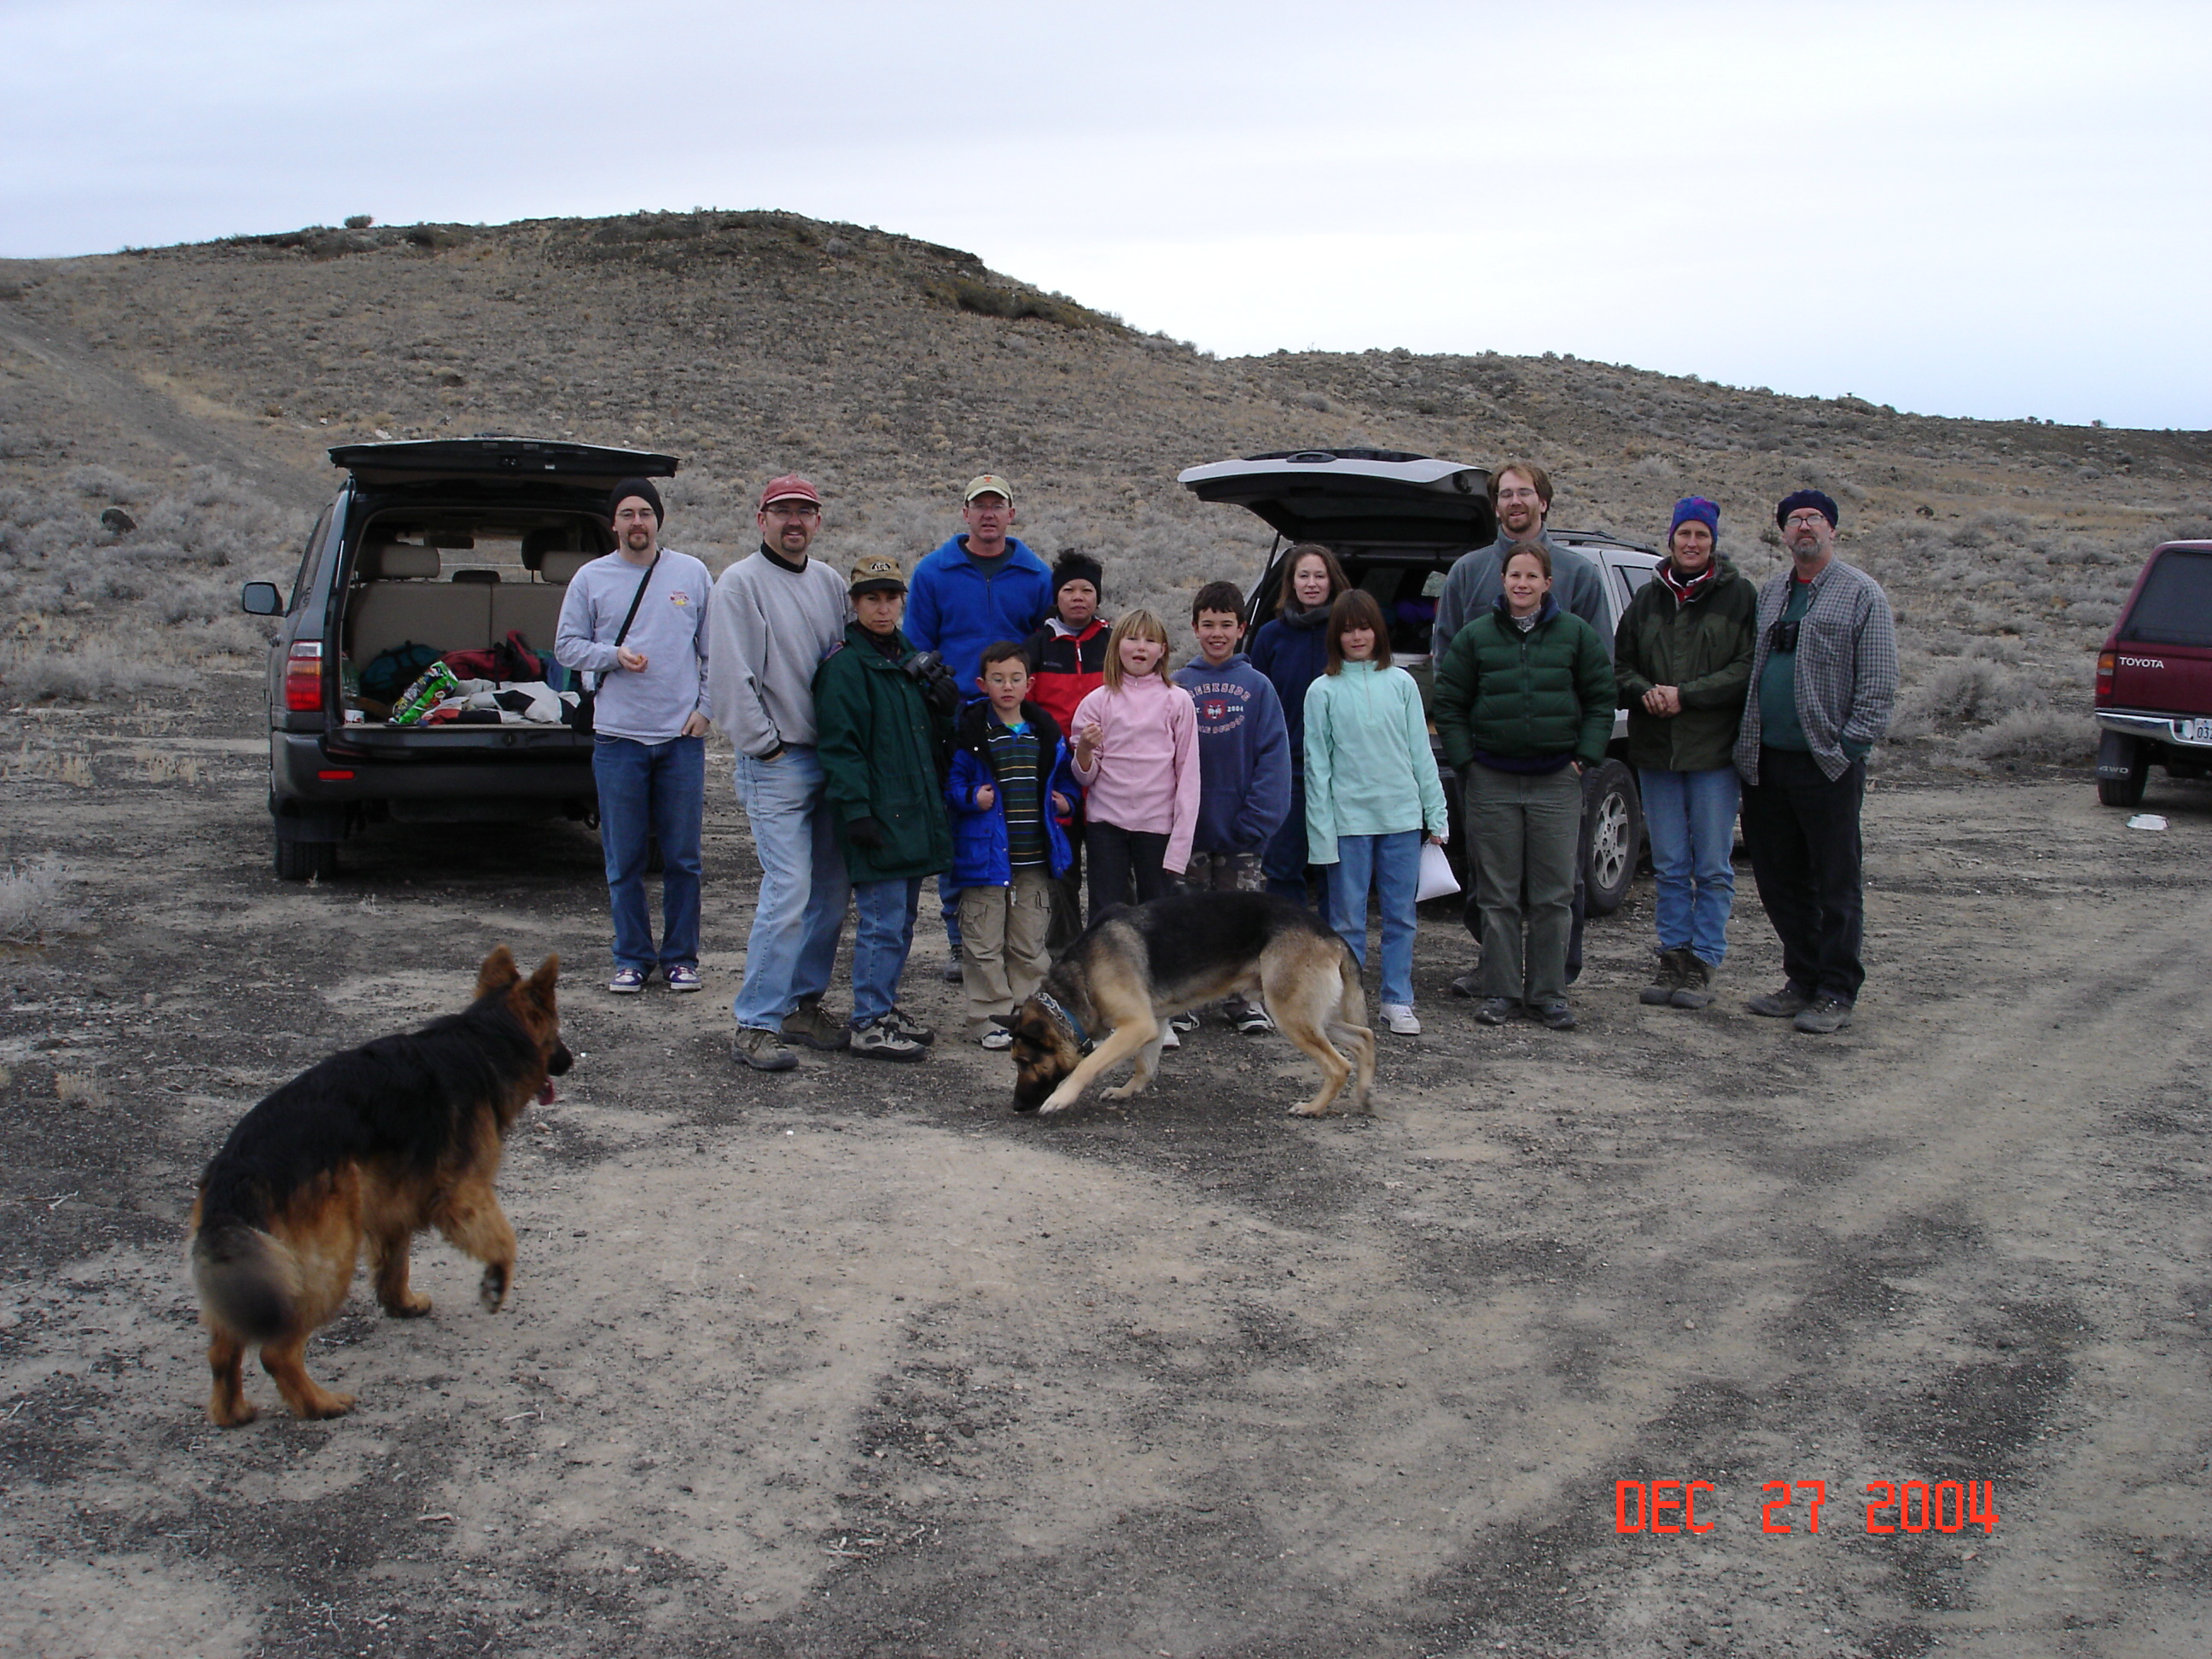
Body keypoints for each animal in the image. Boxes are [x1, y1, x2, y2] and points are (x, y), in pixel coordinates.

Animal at [187, 946, 570, 1433]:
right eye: (556, 1033)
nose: (570, 1061)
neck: (485, 1042)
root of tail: (239, 1167)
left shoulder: (392, 1205)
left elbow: (395, 1263)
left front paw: (401, 1304)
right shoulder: (465, 1195)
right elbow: (504, 1241)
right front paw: (495, 1285)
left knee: (222, 1349)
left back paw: (231, 1411)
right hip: (328, 1261)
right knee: (276, 1351)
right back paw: (320, 1404)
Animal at [999, 898, 1371, 1119]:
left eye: (1024, 1062)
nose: (1016, 1106)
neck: (1081, 976)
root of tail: (1331, 934)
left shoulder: (1136, 1026)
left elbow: (1089, 1064)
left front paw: (1062, 1097)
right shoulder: (1153, 1021)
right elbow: (1144, 1066)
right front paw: (1126, 1091)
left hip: (1291, 1015)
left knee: (1339, 1065)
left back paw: (1312, 1108)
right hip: (1311, 1016)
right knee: (1364, 1037)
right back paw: (1365, 1093)